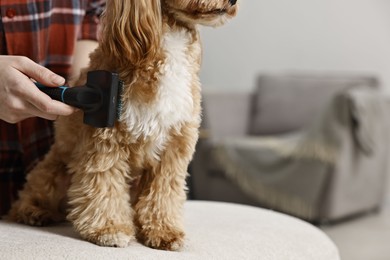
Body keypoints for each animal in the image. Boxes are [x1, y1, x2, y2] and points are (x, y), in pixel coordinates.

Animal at [6, 0, 238, 252]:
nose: (233, 1)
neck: (169, 37)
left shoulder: (175, 144)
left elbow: (164, 191)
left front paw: (164, 231)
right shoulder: (106, 139)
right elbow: (104, 184)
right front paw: (109, 229)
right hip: (54, 170)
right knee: (29, 197)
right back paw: (34, 211)